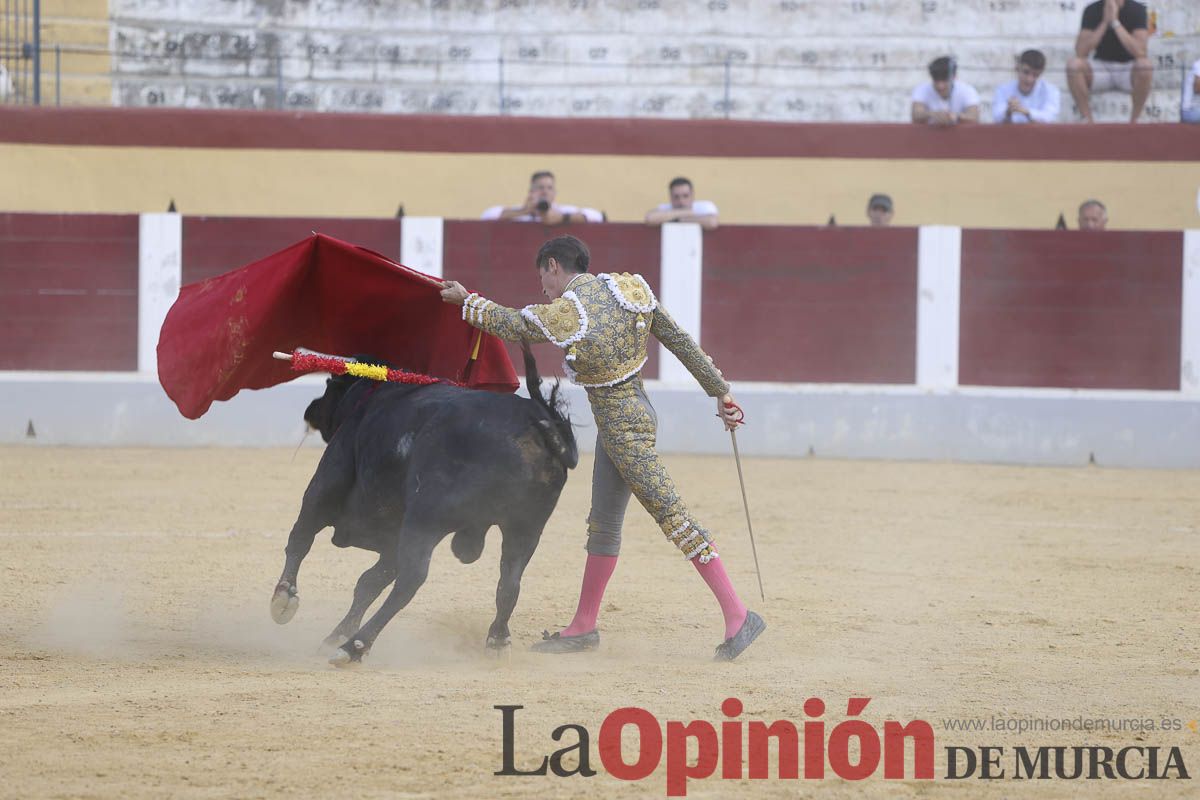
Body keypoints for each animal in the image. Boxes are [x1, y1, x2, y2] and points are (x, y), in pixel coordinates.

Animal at [270, 347, 578, 666]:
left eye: (331, 383)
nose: (311, 408)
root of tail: (536, 424)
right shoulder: (394, 536)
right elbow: (370, 582)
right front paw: (335, 634)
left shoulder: (326, 484)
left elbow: (301, 537)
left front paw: (284, 599)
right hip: (526, 527)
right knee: (510, 581)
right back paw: (497, 640)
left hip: (425, 519)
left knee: (411, 579)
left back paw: (355, 646)